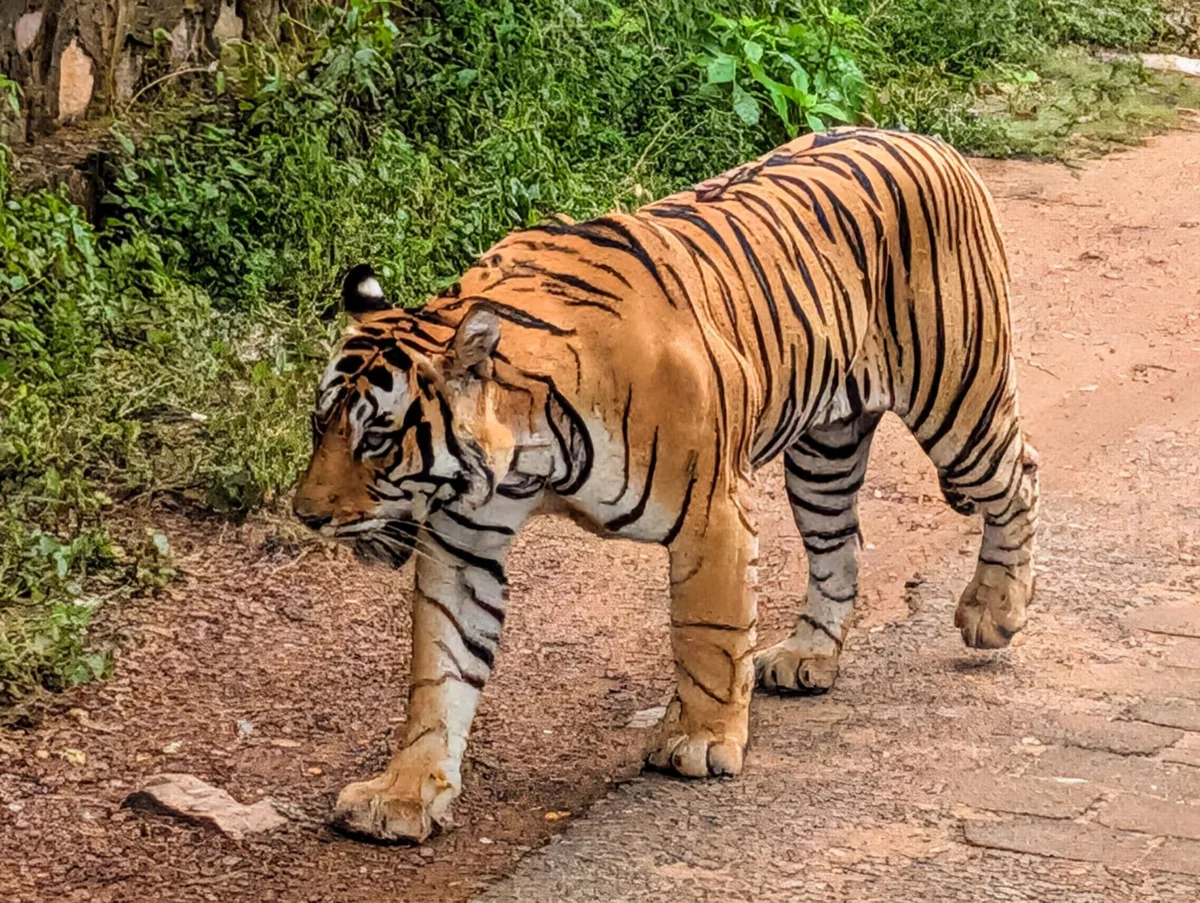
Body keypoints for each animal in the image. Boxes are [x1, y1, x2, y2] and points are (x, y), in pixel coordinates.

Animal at [292, 127, 1040, 843]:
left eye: (377, 438)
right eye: (318, 424)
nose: (306, 515)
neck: (528, 449)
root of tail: (927, 141)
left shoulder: (714, 512)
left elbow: (707, 631)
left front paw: (699, 742)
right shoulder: (464, 540)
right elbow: (440, 668)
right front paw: (404, 794)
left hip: (958, 401)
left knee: (1020, 476)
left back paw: (994, 610)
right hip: (823, 455)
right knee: (840, 546)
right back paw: (809, 655)